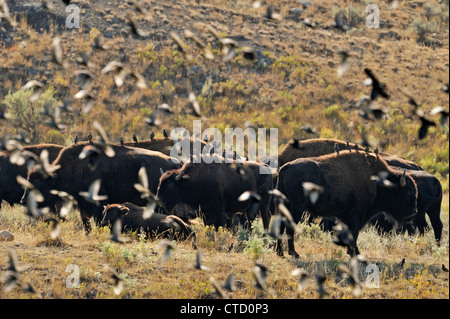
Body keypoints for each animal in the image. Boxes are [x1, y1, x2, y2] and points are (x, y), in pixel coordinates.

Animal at [25, 142, 180, 232]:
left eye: (38, 184)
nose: (23, 200)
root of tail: (174, 163)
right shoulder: (84, 205)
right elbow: (86, 222)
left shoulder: (98, 202)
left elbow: (98, 220)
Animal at [278, 151, 418, 258]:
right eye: (408, 193)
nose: (414, 212)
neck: (379, 183)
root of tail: (287, 166)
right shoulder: (357, 215)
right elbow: (354, 233)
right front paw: (354, 253)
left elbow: (352, 234)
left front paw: (352, 252)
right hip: (297, 208)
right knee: (289, 227)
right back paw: (294, 254)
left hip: (285, 205)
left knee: (280, 226)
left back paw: (280, 252)